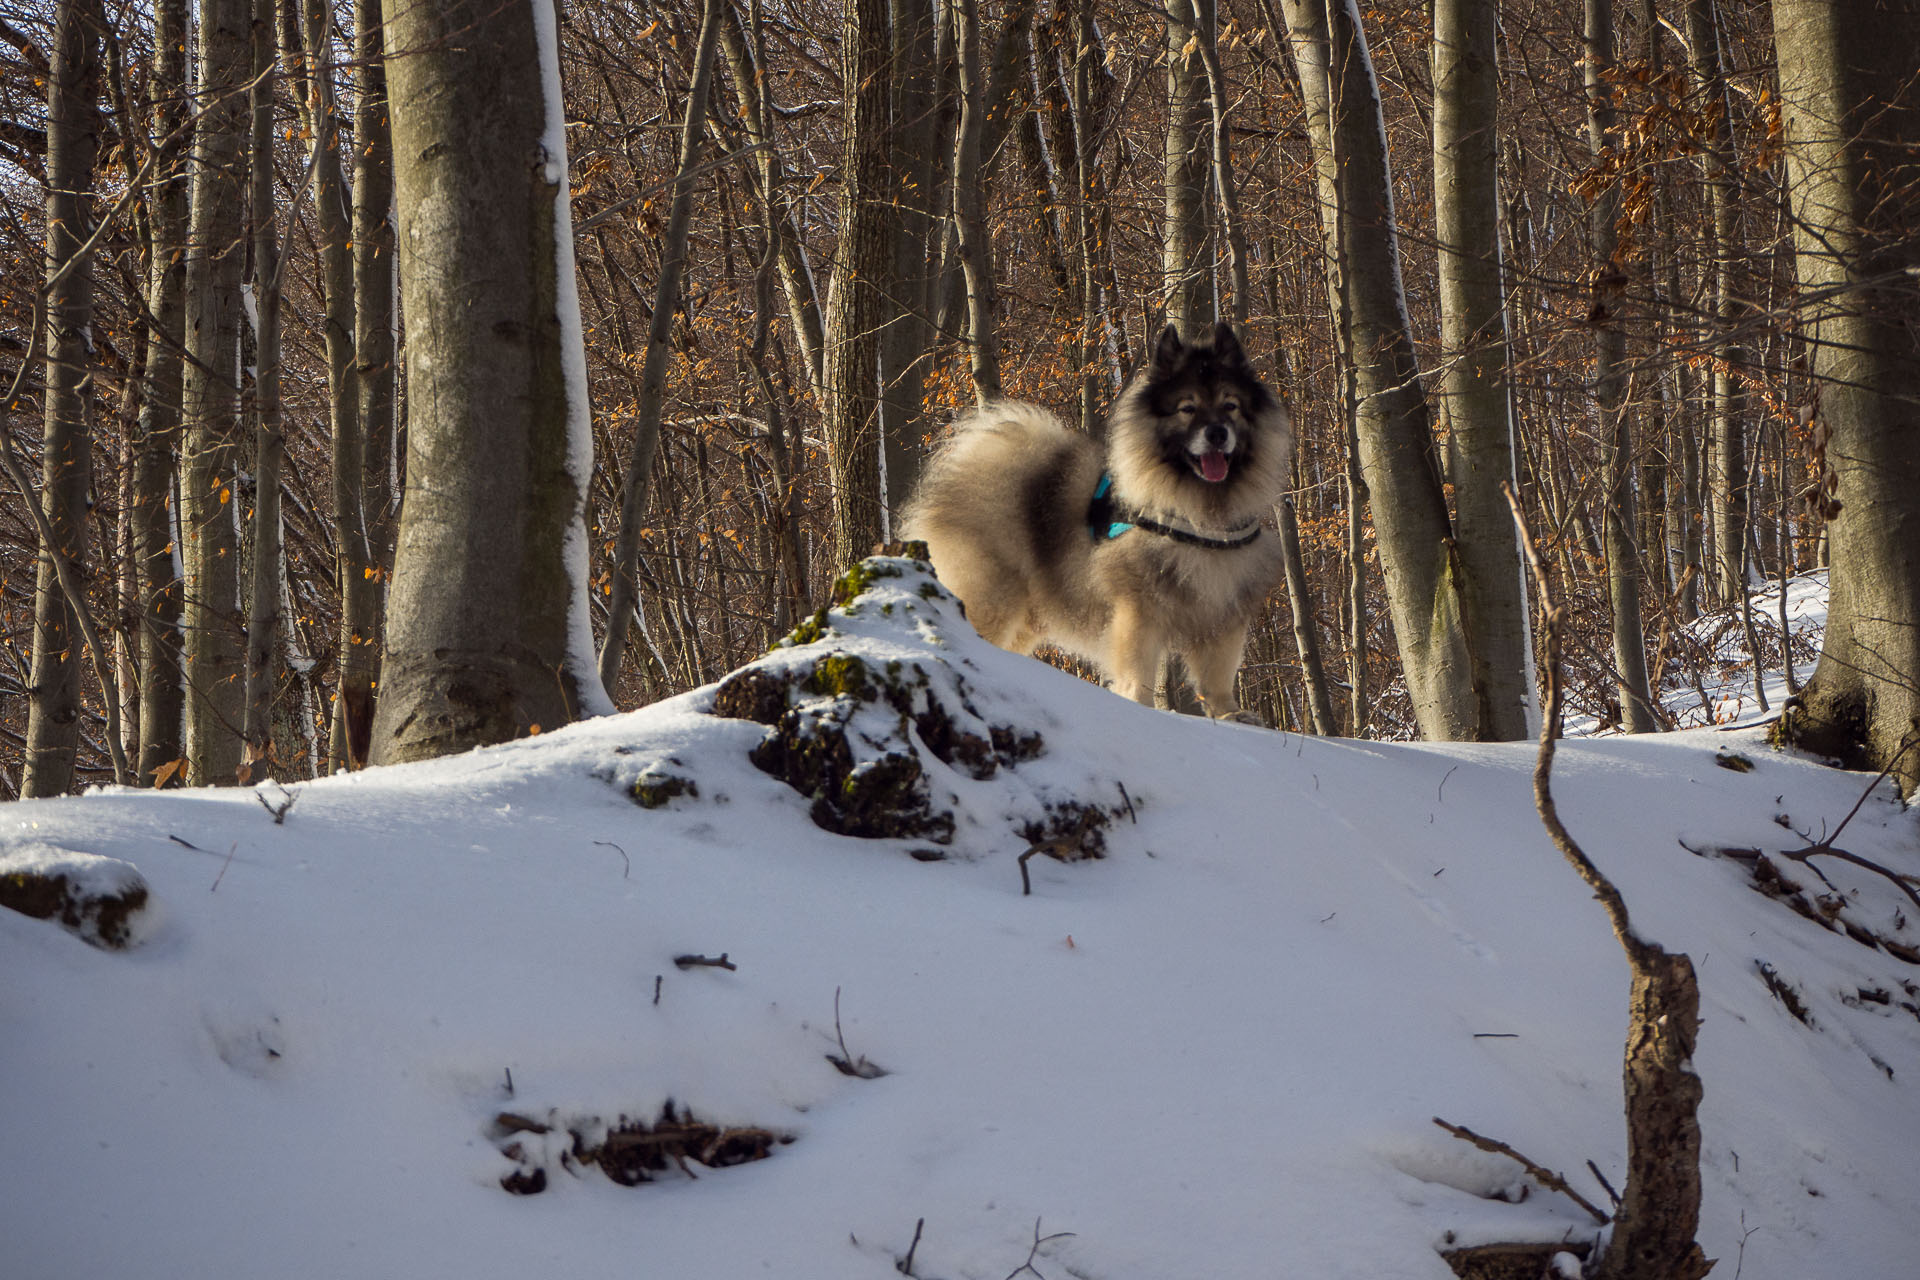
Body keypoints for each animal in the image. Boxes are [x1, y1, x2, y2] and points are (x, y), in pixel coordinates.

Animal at [898, 322, 1290, 721]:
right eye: (1187, 408)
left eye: (1230, 406)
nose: (1217, 433)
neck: (1198, 512)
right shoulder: (1138, 610)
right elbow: (1138, 672)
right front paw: (1139, 708)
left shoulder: (1224, 607)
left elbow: (1218, 675)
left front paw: (1230, 715)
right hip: (993, 597)